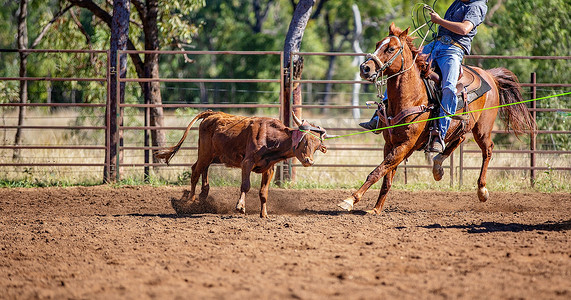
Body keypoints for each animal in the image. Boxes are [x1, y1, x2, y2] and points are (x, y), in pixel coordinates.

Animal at [338, 24, 536, 214]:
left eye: (391, 48)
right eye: (377, 44)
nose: (365, 68)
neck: (412, 96)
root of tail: (489, 76)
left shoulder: (405, 145)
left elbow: (378, 171)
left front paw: (349, 200)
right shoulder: (391, 144)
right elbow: (386, 175)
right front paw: (376, 209)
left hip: (482, 129)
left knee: (487, 150)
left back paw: (482, 190)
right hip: (461, 126)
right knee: (458, 139)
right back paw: (438, 167)